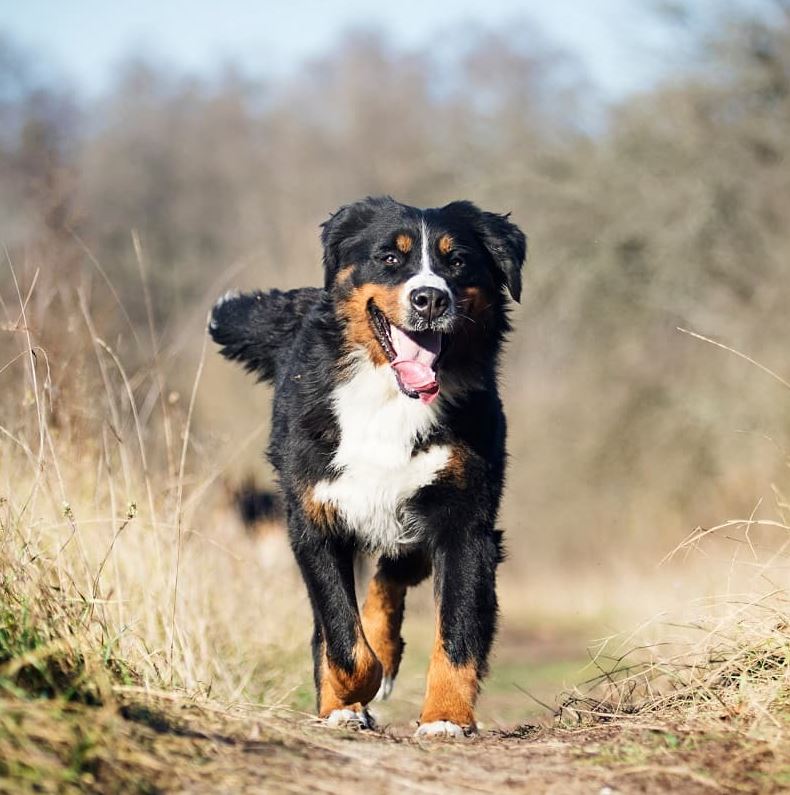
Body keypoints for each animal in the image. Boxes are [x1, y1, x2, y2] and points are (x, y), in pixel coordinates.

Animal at [213, 196, 528, 736]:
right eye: (390, 258)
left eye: (457, 261)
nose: (429, 299)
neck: (390, 401)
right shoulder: (313, 518)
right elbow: (341, 639)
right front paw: (347, 698)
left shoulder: (464, 519)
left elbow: (457, 631)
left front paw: (445, 717)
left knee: (393, 575)